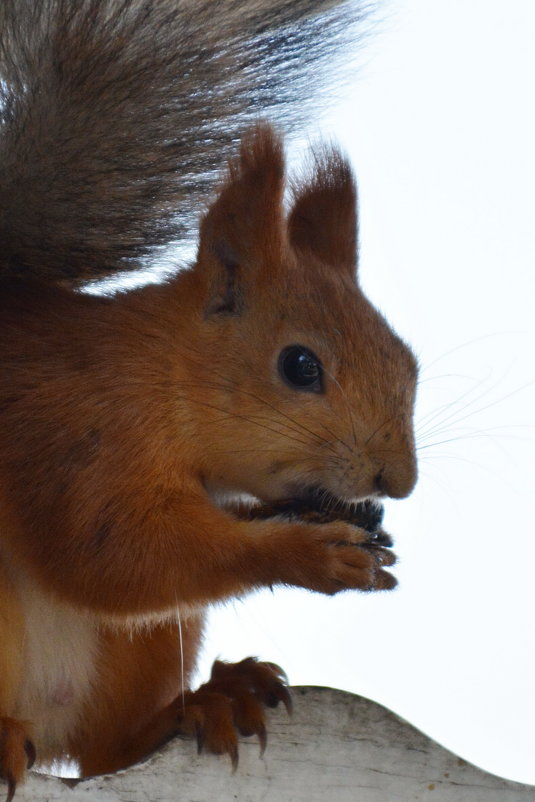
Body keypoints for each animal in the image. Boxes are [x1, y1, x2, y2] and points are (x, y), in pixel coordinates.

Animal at [0, 0, 418, 792]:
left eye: (407, 360)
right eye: (299, 366)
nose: (398, 481)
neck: (162, 378)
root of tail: (43, 721)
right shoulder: (79, 433)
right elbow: (112, 555)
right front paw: (305, 552)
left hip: (142, 651)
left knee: (109, 750)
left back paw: (208, 703)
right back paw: (3, 736)